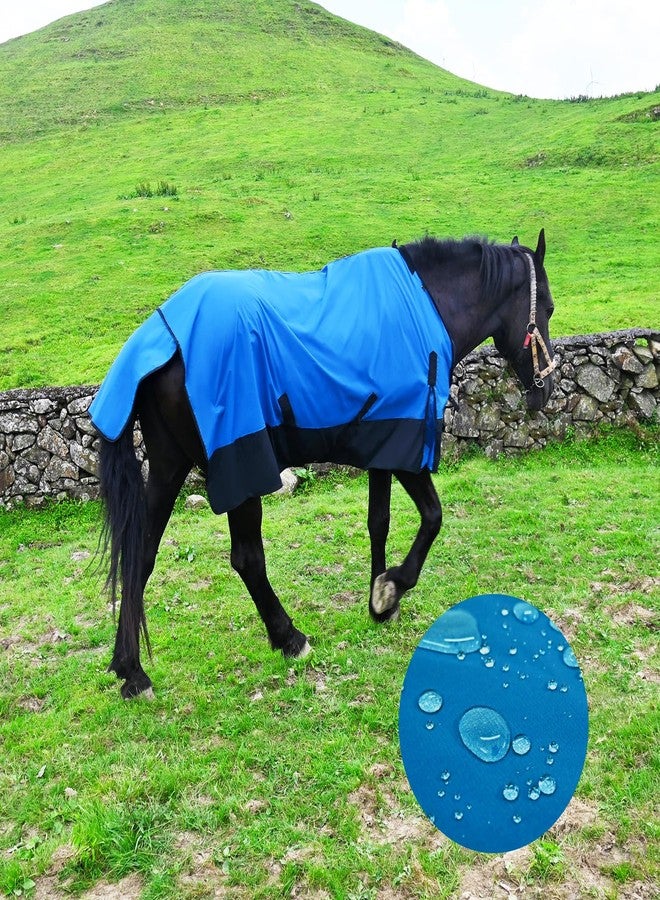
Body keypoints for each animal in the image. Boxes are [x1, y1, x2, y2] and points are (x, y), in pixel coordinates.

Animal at [91, 231, 556, 699]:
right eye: (549, 308)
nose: (546, 390)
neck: (424, 304)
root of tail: (162, 335)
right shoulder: (408, 450)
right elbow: (432, 518)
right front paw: (392, 587)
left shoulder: (383, 444)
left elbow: (379, 522)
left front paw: (380, 602)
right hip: (241, 469)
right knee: (246, 559)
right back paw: (289, 638)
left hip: (168, 468)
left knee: (141, 555)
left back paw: (131, 670)